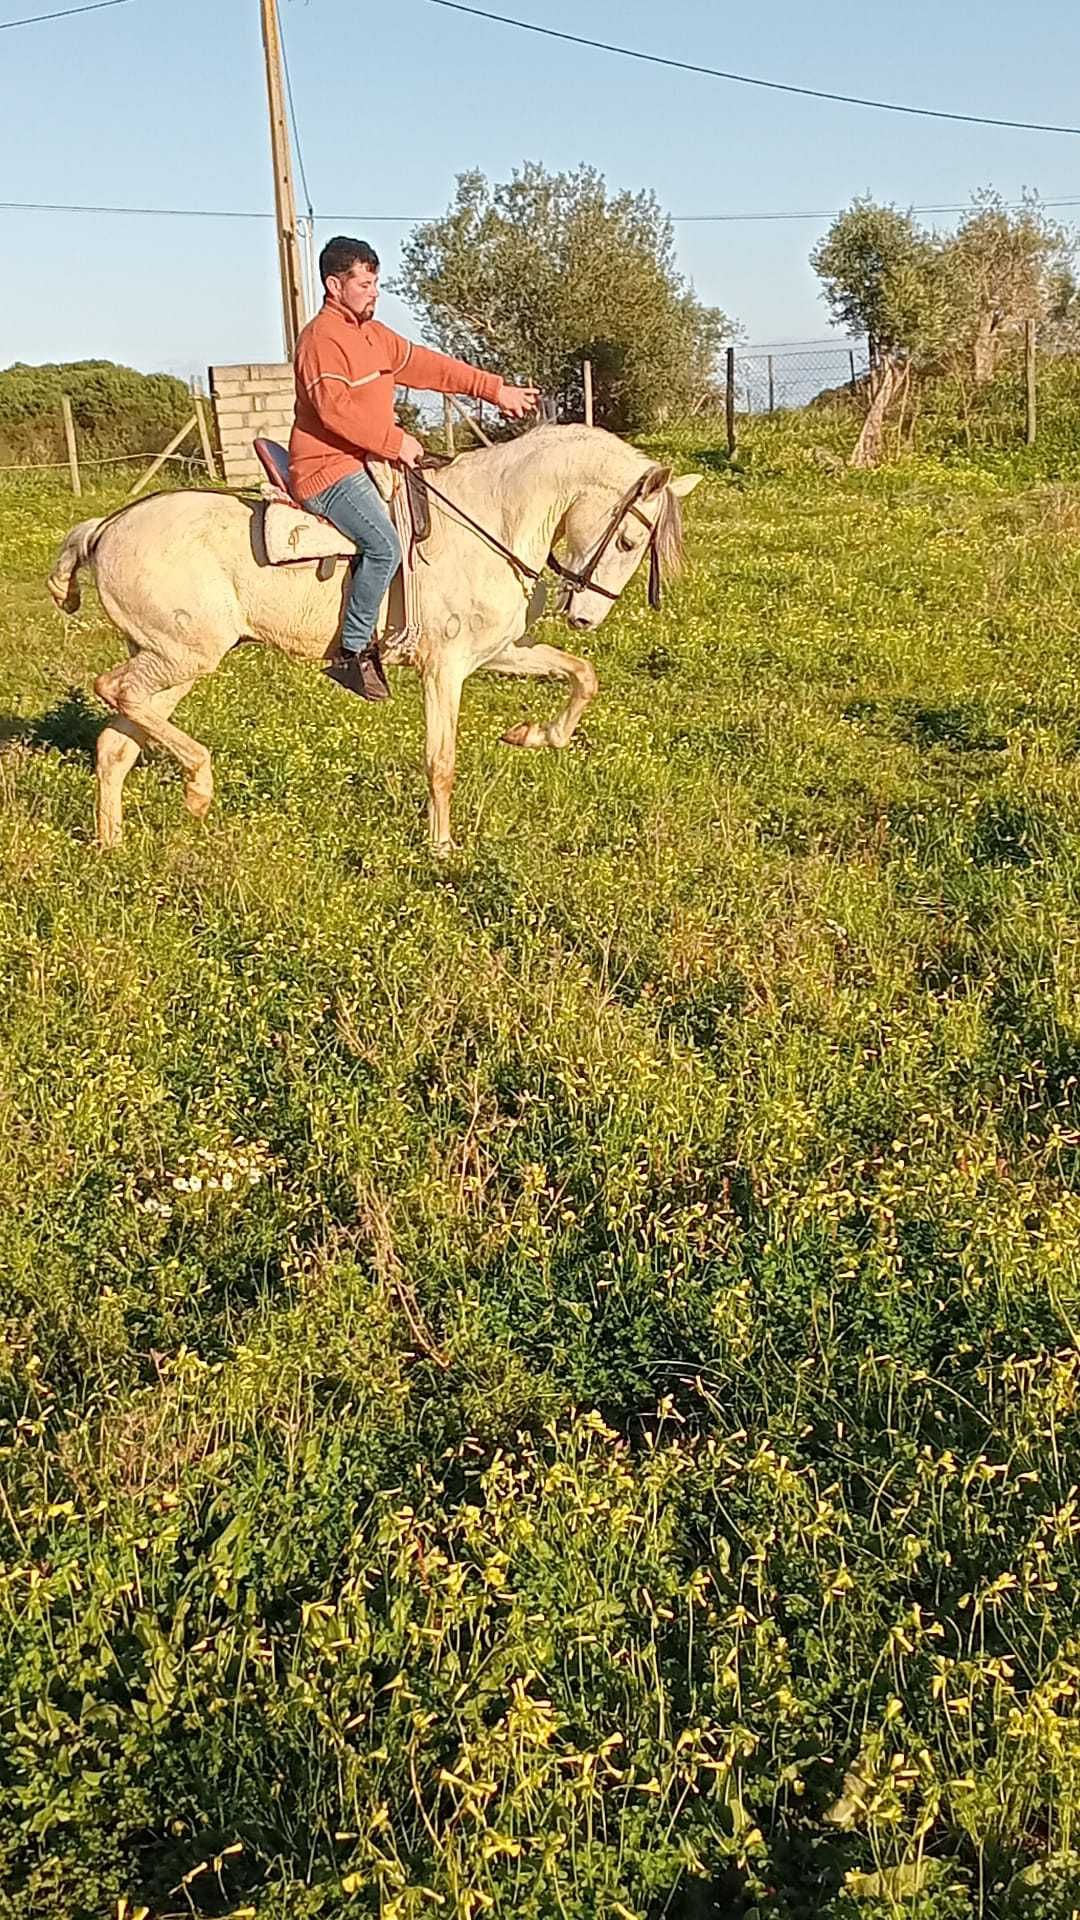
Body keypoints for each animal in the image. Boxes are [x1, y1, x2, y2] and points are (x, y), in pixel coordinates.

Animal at [46, 424, 699, 852]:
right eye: (628, 541)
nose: (586, 616)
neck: (489, 519)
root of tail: (106, 527)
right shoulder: (445, 668)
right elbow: (441, 761)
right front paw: (441, 848)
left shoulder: (499, 653)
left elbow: (582, 676)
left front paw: (533, 734)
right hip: (183, 656)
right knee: (113, 691)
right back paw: (199, 786)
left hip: (168, 661)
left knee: (116, 743)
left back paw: (113, 845)